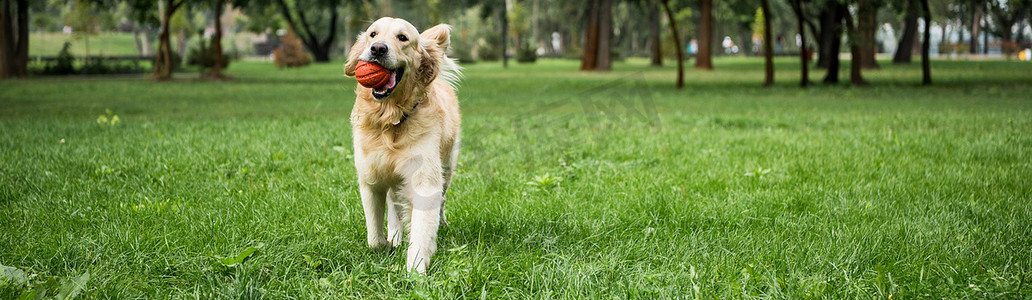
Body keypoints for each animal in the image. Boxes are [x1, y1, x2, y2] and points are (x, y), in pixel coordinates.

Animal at [344, 17, 462, 274]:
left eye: (403, 38)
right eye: (372, 34)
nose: (378, 48)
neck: (390, 120)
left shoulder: (425, 180)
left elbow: (422, 228)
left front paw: (416, 270)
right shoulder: (371, 179)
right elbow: (374, 237)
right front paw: (386, 244)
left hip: (447, 166)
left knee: (441, 200)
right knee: (394, 205)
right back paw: (395, 235)